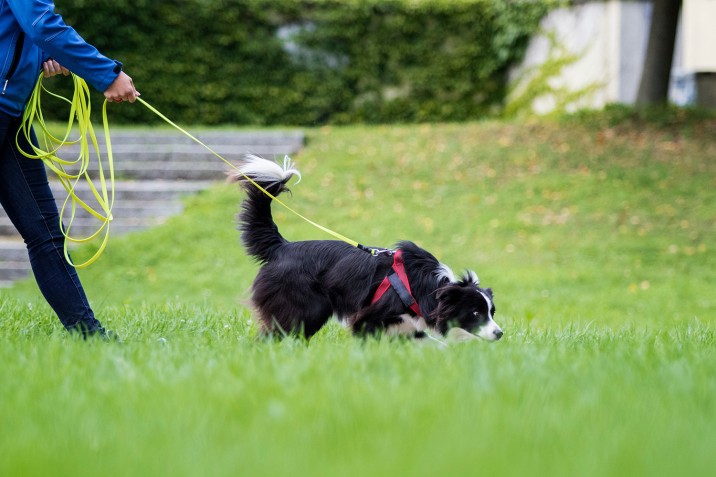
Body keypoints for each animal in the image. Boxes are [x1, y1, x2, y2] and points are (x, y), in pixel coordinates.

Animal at [231, 154, 504, 340]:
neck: (425, 286)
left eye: (492, 311)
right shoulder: (369, 316)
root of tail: (281, 247)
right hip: (305, 306)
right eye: (476, 313)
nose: (500, 333)